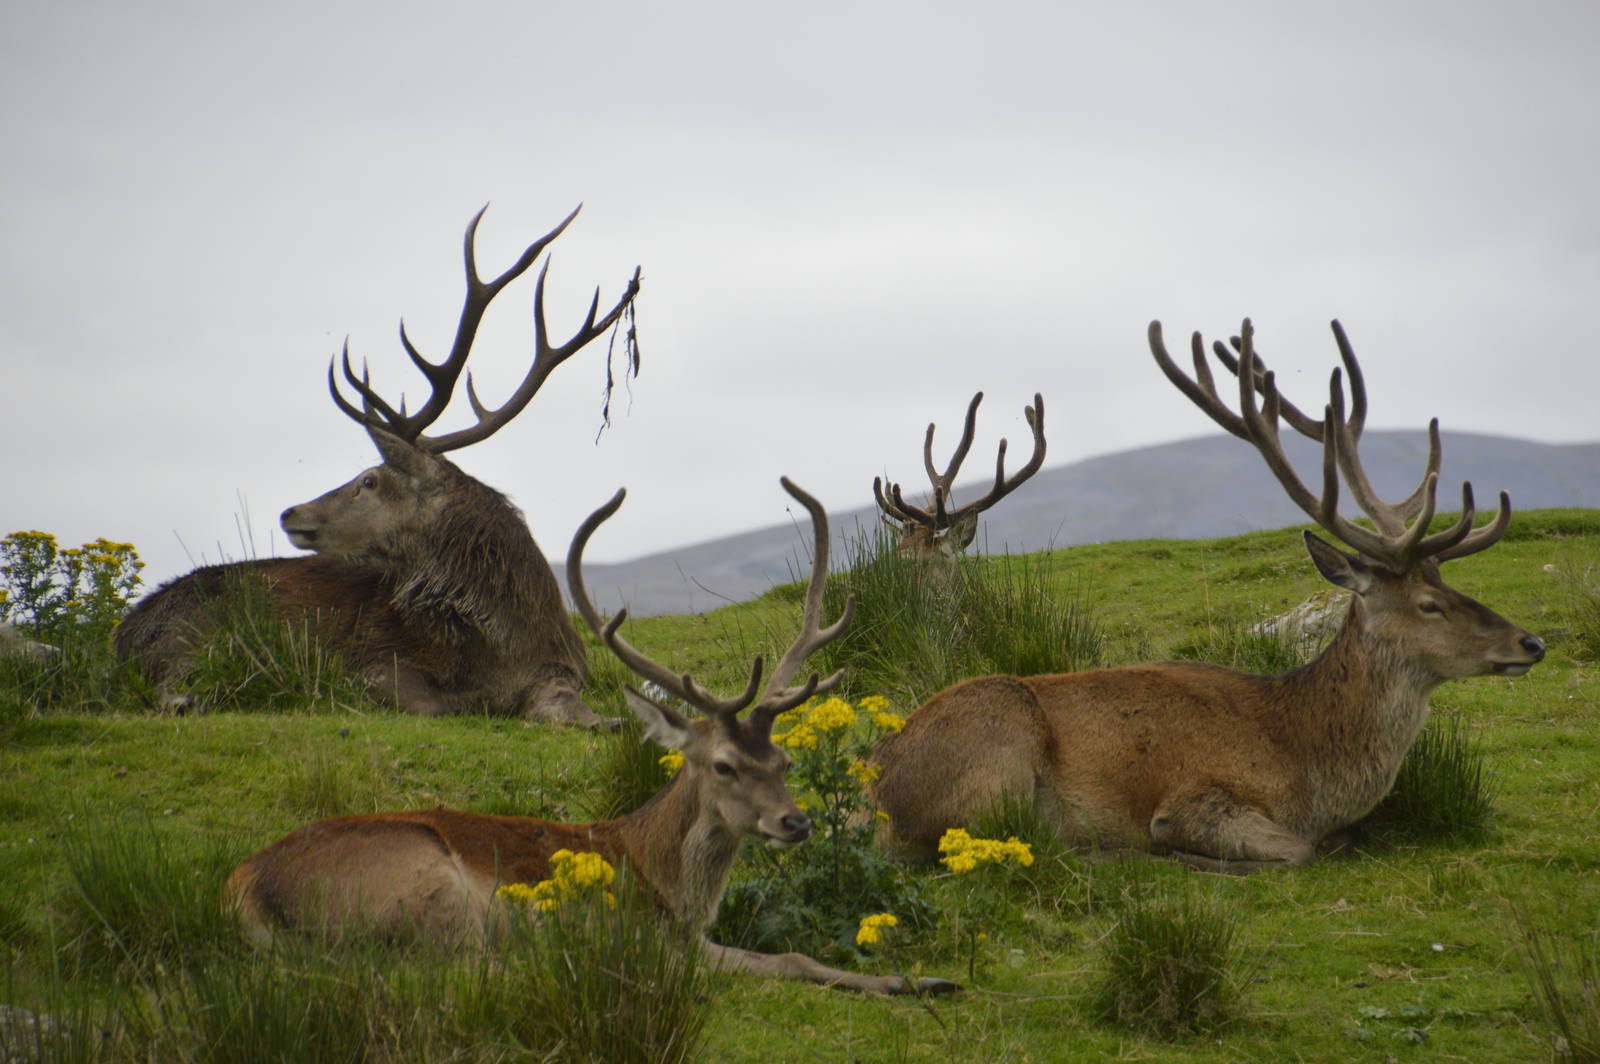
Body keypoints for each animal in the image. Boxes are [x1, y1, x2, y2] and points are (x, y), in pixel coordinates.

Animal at [114, 205, 640, 727]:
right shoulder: (371, 661)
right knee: (163, 683)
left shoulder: (562, 670)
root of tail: (122, 630)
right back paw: (190, 700)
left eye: (368, 480)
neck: (504, 646)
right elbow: (431, 703)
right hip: (189, 631)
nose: (290, 512)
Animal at [224, 477, 959, 995]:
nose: (795, 822)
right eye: (723, 765)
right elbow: (782, 958)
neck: (665, 883)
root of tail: (243, 884)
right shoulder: (646, 935)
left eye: (781, 759)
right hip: (427, 888)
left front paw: (927, 979)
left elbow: (798, 957)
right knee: (465, 971)